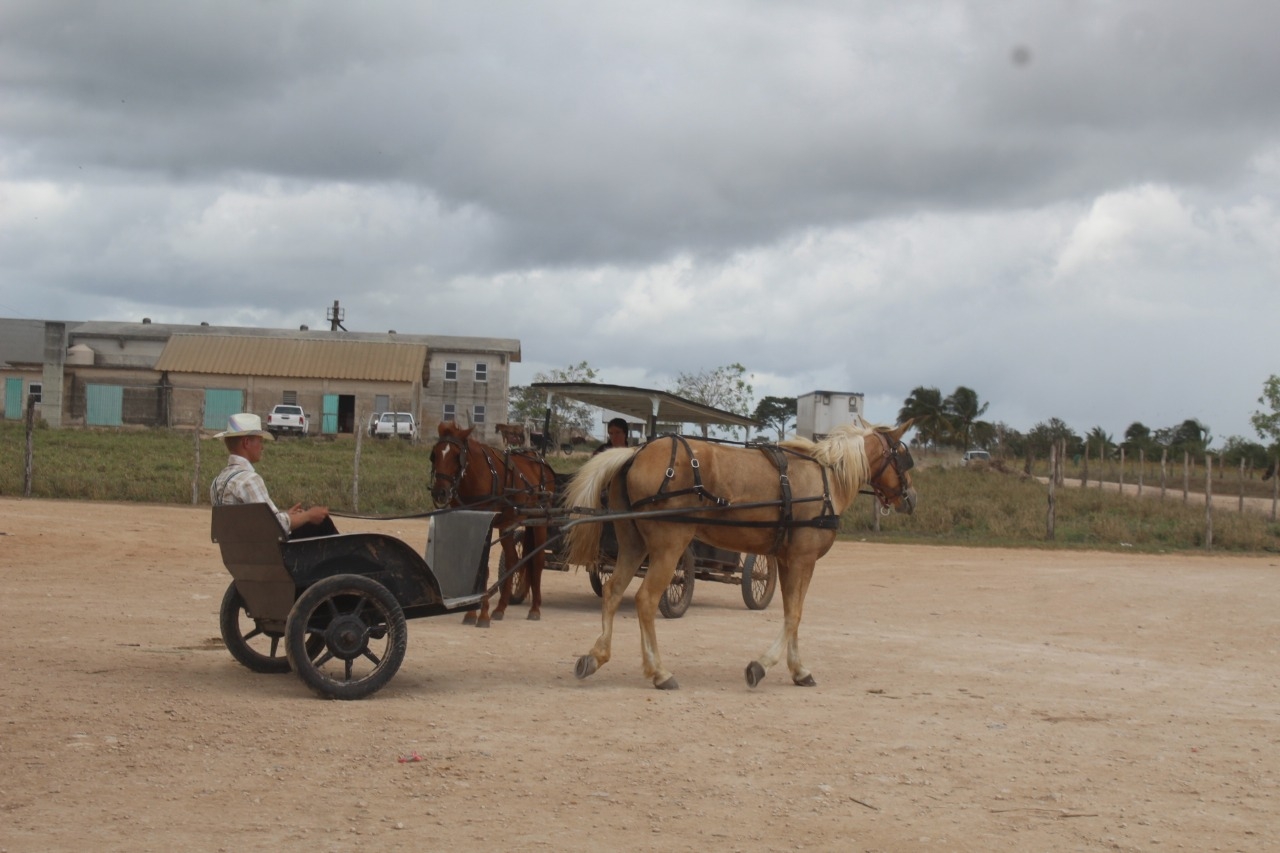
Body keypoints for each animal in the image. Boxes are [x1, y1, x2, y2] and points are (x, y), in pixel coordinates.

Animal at [430, 420, 555, 625]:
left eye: (457, 456)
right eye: (435, 455)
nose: (440, 492)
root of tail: (542, 462)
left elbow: (485, 569)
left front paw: (483, 614)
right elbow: (479, 566)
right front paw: (473, 612)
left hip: (540, 521)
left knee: (537, 560)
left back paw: (535, 608)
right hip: (507, 525)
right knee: (513, 560)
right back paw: (501, 608)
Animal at [565, 422, 916, 686]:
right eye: (903, 457)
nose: (911, 498)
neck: (826, 479)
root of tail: (636, 453)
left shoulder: (786, 559)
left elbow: (790, 613)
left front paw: (797, 670)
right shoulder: (803, 559)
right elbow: (795, 614)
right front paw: (762, 666)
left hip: (633, 544)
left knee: (613, 591)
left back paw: (595, 657)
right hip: (669, 547)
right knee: (646, 600)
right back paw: (660, 672)